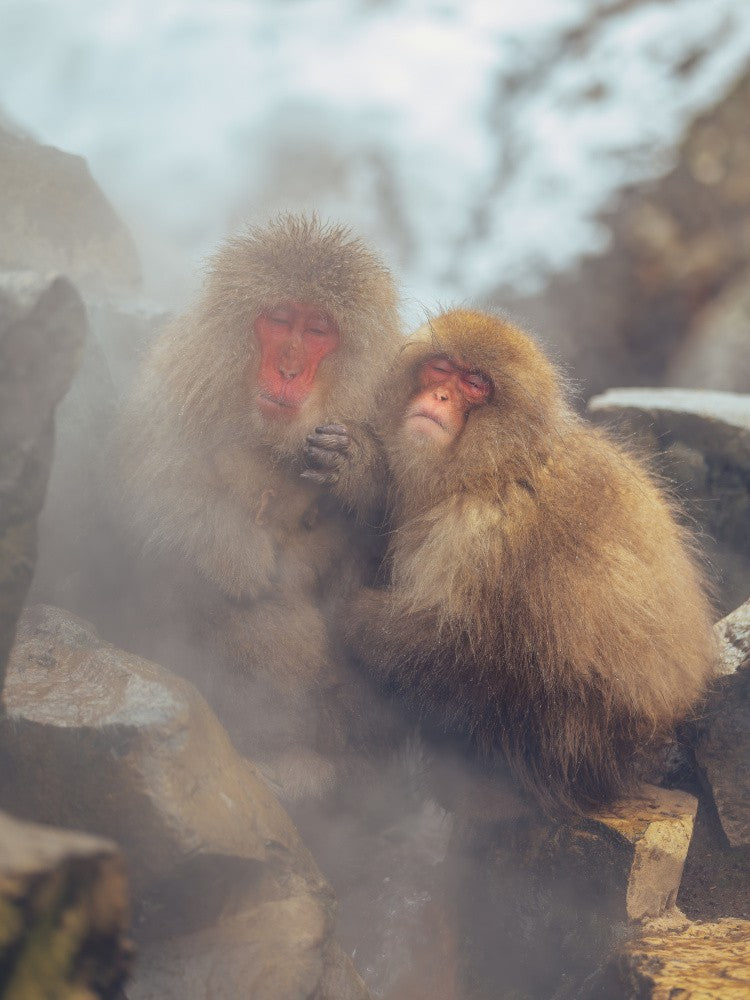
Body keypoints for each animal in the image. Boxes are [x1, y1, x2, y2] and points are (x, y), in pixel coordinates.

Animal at [114, 213, 403, 802]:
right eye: (279, 320)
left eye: (317, 332)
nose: (289, 370)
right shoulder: (180, 373)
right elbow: (155, 484)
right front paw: (235, 554)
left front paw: (356, 466)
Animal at [306, 308, 717, 814]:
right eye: (441, 369)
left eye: (475, 383)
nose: (440, 395)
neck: (495, 465)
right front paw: (359, 468)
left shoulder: (484, 531)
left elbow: (450, 640)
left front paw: (346, 612)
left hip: (576, 741)